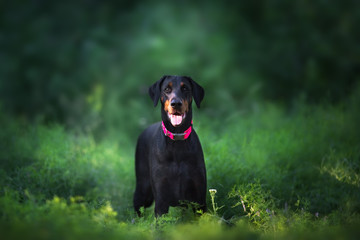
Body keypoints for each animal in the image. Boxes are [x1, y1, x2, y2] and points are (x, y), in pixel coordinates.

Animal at [134, 75, 207, 218]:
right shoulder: (161, 198)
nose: (176, 103)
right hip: (143, 188)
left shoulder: (199, 197)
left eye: (185, 88)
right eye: (167, 89)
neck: (177, 143)